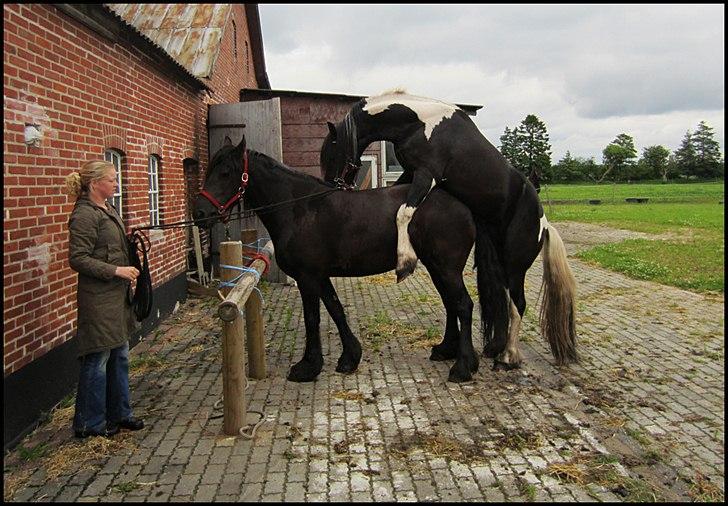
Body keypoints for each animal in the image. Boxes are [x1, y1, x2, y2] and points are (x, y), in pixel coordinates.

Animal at [192, 136, 484, 382]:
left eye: (225, 172)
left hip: (447, 268)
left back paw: (463, 366)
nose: (199, 213)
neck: (299, 209)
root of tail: (462, 205)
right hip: (436, 267)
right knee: (450, 304)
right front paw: (350, 357)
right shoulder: (319, 276)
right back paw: (446, 350)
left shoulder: (308, 278)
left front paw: (308, 366)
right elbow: (336, 310)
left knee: (463, 305)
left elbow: (313, 318)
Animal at [322, 90, 576, 368]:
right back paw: (494, 349)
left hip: (515, 267)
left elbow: (403, 212)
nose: (332, 187)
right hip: (498, 263)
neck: (421, 123)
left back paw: (508, 356)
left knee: (517, 304)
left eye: (331, 153)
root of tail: (544, 224)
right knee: (502, 301)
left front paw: (405, 261)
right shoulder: (410, 173)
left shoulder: (426, 174)